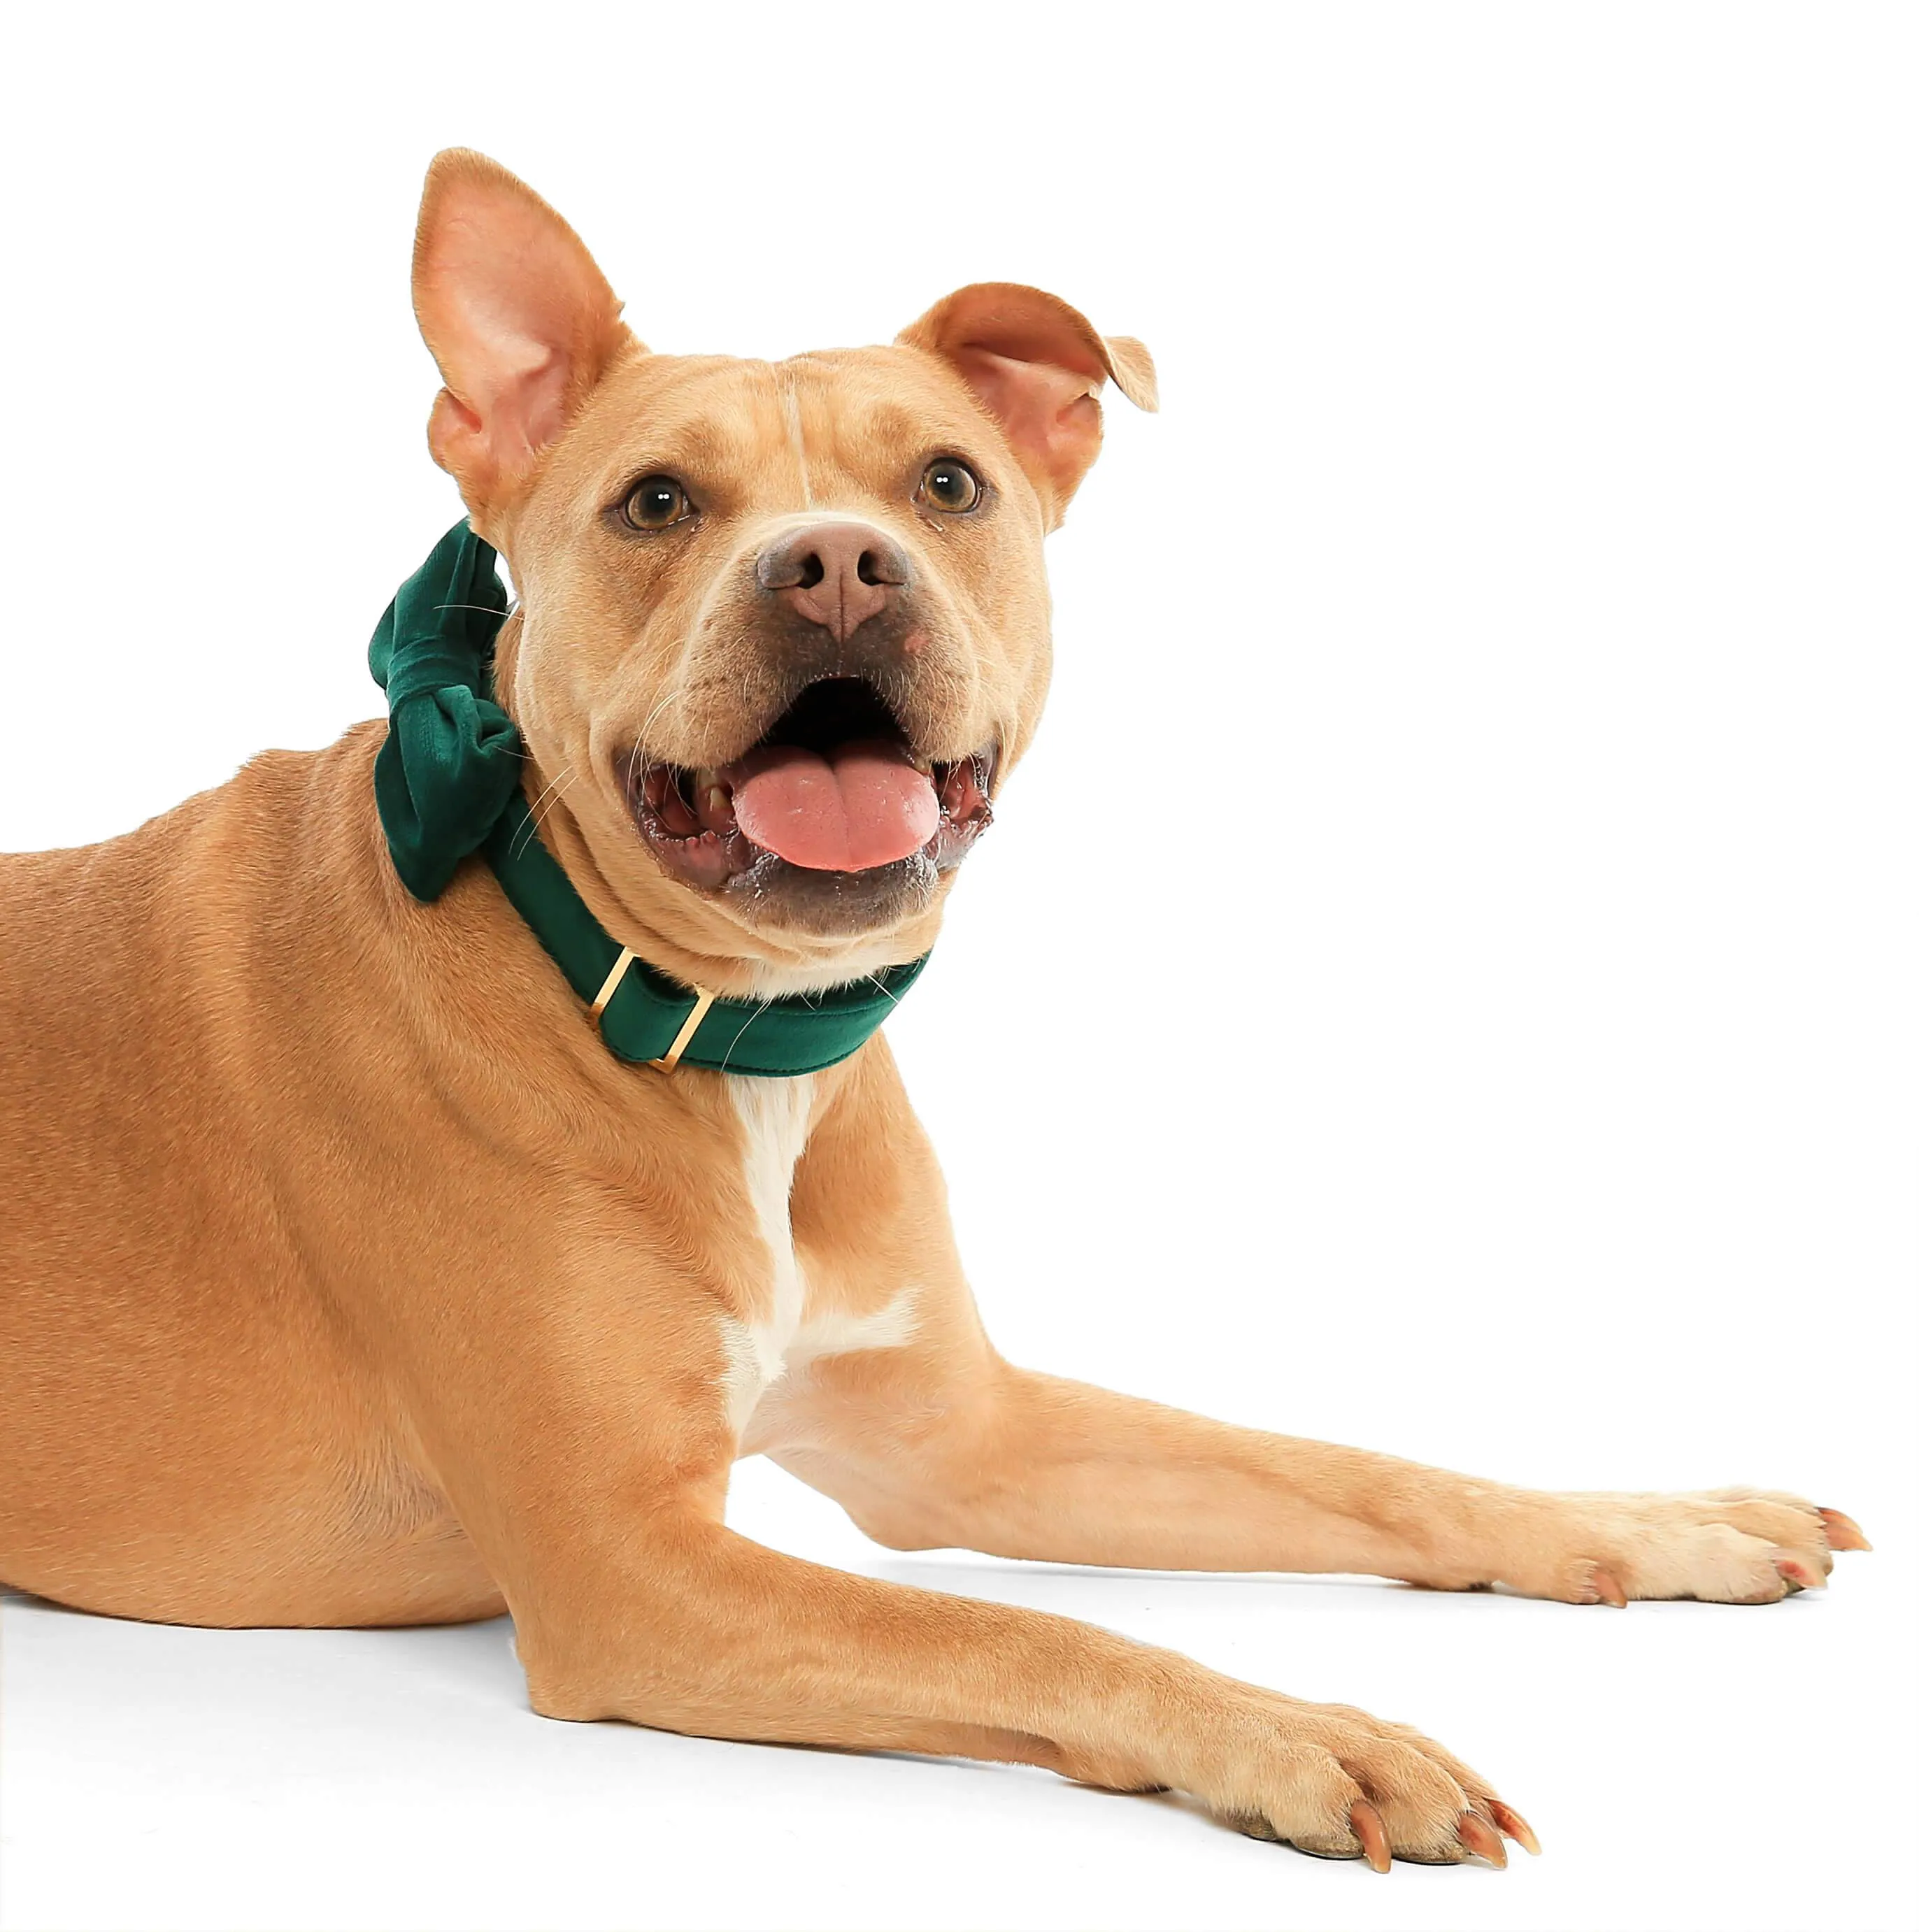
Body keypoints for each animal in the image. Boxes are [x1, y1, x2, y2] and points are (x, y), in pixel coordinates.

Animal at [0, 150, 1862, 1870]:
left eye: (948, 480)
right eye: (655, 501)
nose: (835, 564)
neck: (723, 1033)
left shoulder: (962, 1438)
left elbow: (1358, 1469)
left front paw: (1661, 1522)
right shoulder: (630, 1567)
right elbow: (1021, 1627)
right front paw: (1300, 1731)